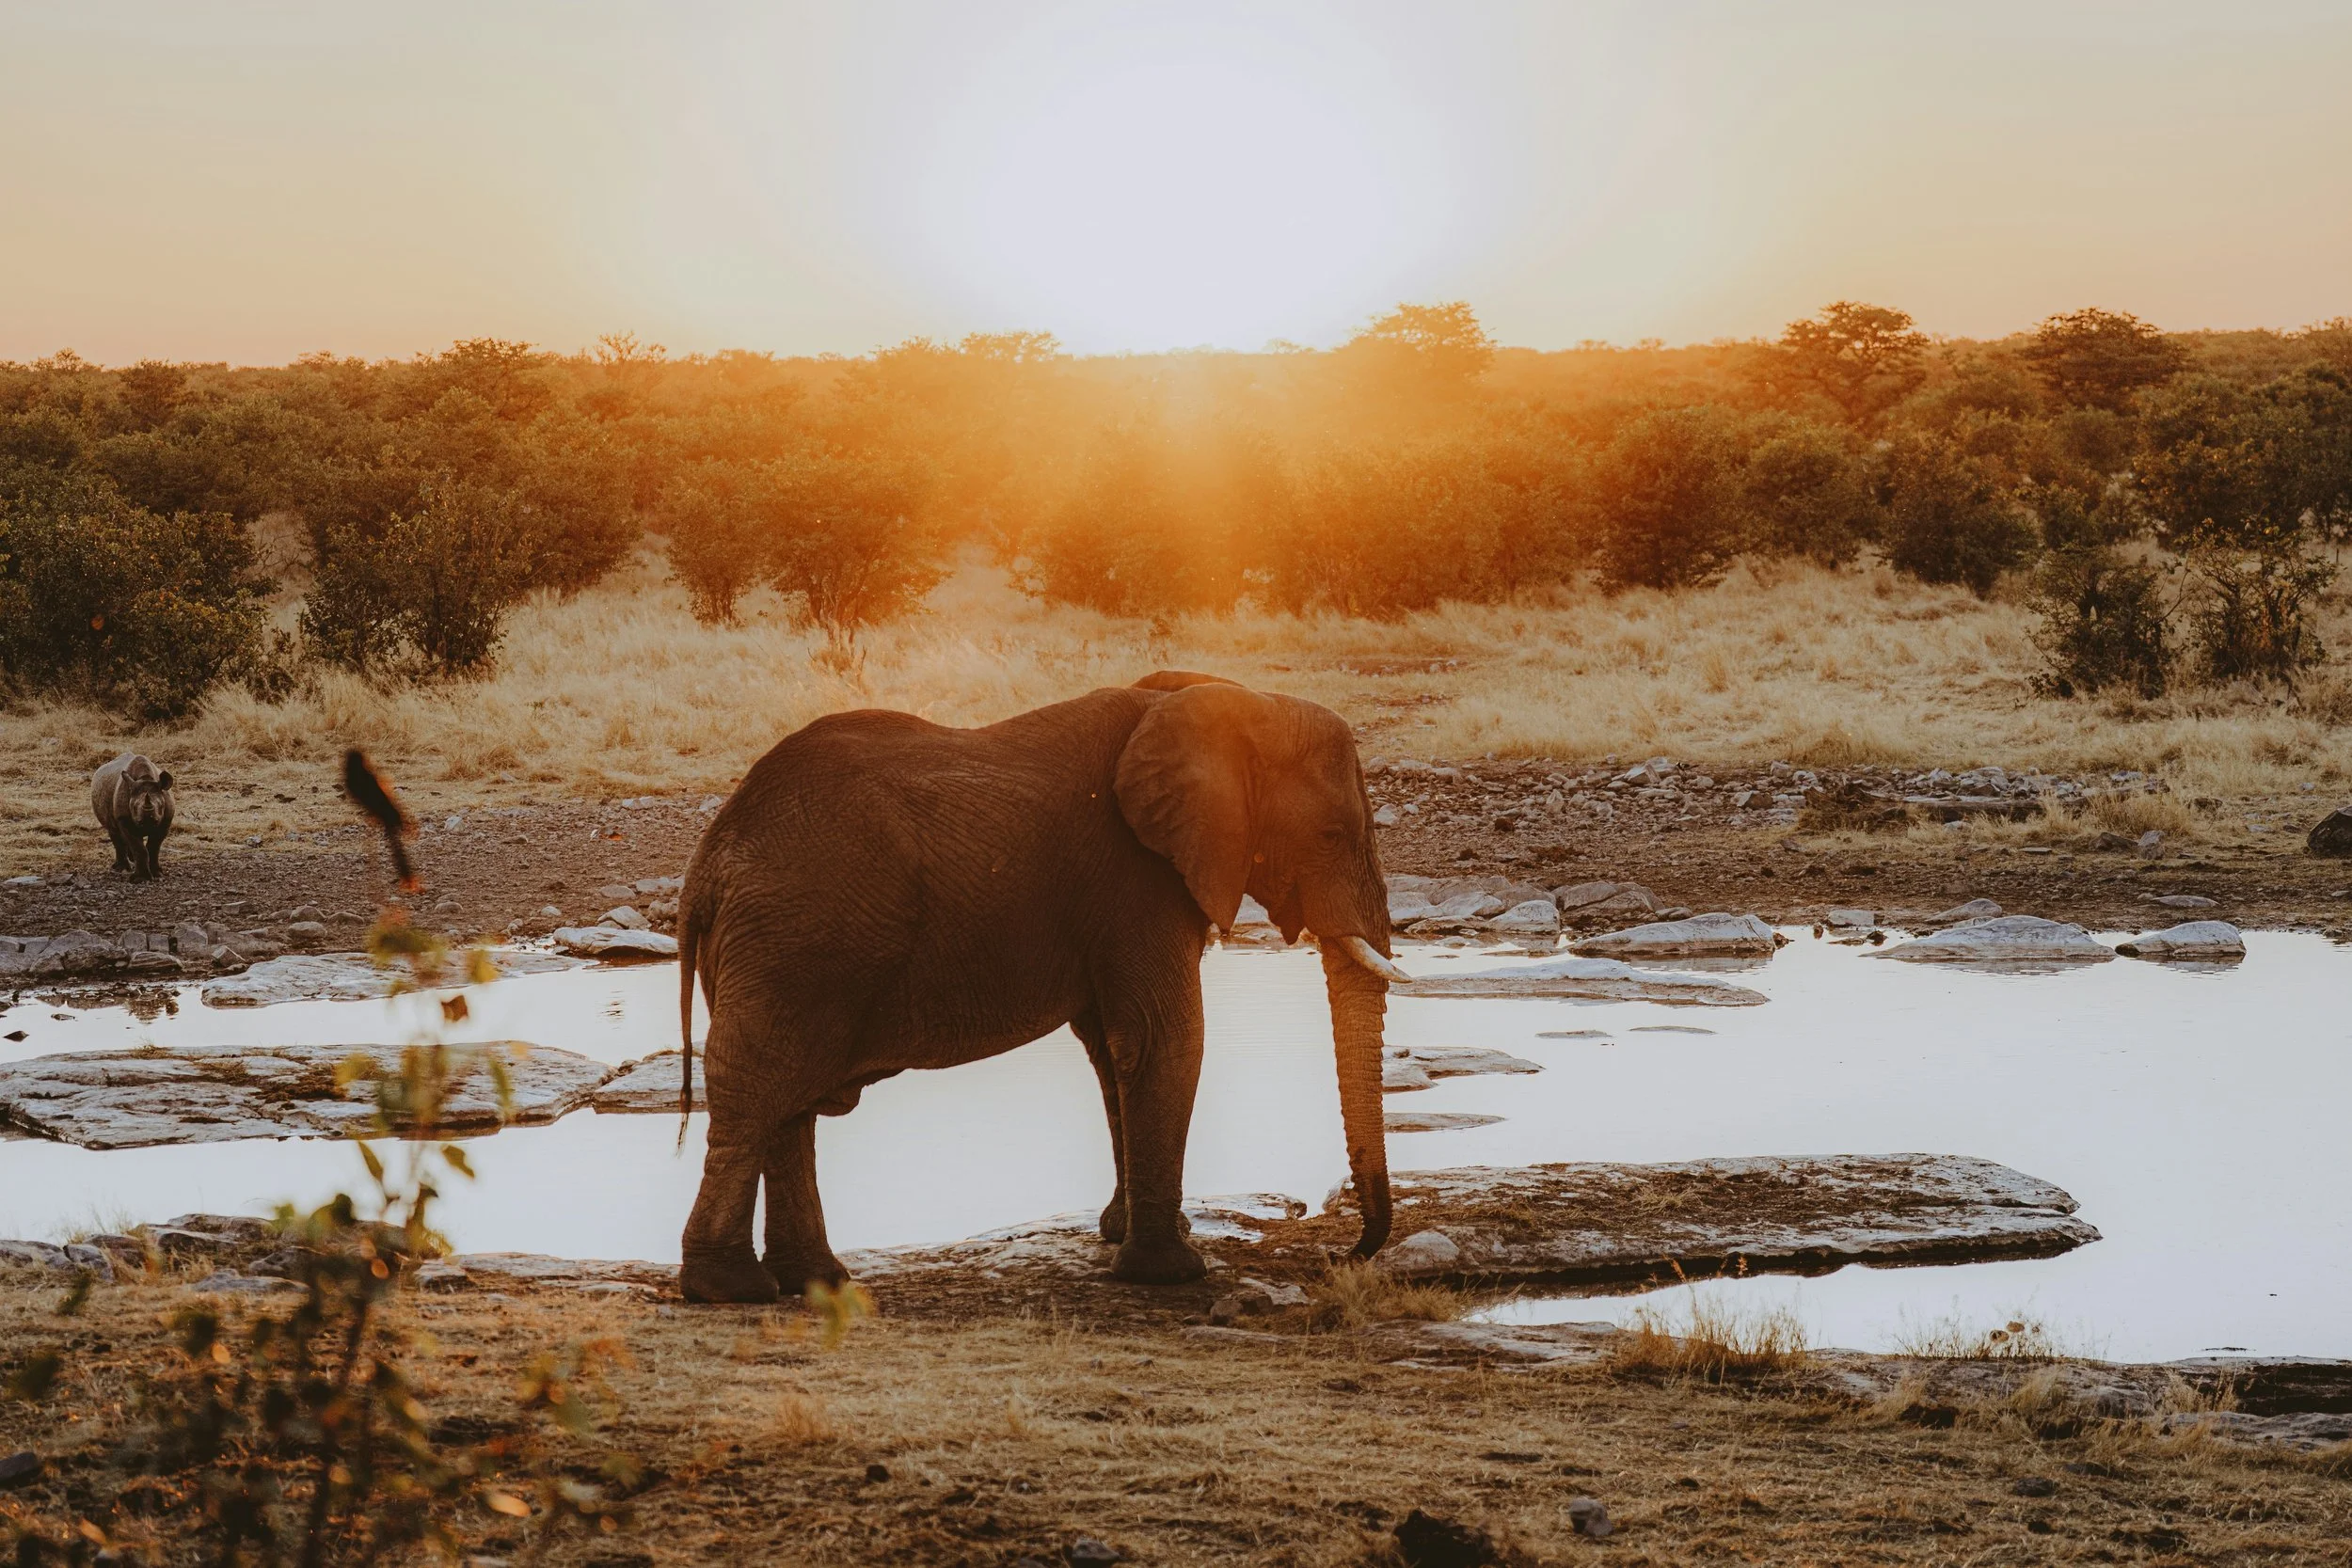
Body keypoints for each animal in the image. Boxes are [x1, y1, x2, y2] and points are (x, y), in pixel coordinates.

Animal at [672, 671, 1408, 1304]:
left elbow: (1112, 1049)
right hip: (794, 938)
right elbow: (1162, 1036)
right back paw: (730, 1287)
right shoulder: (1136, 877)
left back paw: (817, 1282)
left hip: (783, 948)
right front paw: (1170, 1271)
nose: (1346, 1252)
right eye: (1332, 835)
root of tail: (708, 861)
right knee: (757, 1086)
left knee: (786, 1102)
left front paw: (1123, 1234)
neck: (1228, 700)